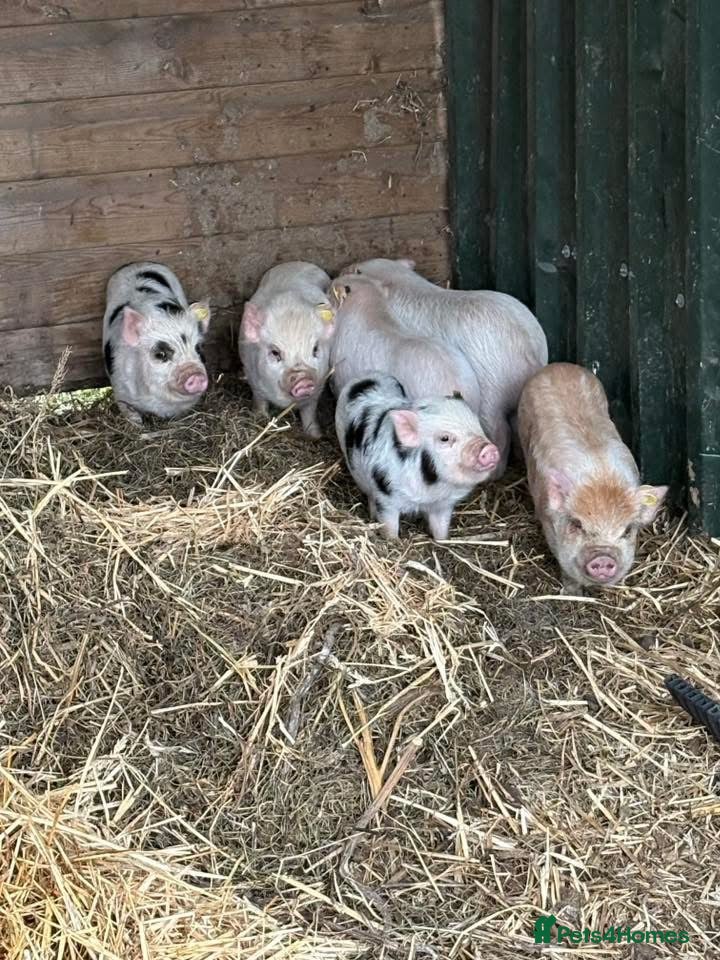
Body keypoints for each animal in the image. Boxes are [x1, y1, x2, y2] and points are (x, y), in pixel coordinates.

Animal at [102, 262, 211, 424]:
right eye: (160, 354)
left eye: (198, 349)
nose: (195, 374)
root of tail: (137, 263)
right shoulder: (120, 390)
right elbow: (131, 415)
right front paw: (138, 425)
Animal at [239, 262, 335, 438]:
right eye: (275, 352)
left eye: (315, 349)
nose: (303, 379)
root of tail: (296, 262)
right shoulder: (252, 378)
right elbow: (260, 401)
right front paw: (259, 419)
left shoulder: (318, 387)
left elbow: (309, 411)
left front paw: (316, 436)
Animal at [336, 373, 500, 540]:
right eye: (444, 438)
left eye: (477, 425)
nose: (489, 449)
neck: (430, 489)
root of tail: (366, 377)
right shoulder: (386, 496)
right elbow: (389, 526)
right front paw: (393, 541)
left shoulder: (442, 505)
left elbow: (440, 528)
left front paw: (442, 541)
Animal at [517, 362, 668, 595]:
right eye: (577, 524)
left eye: (627, 530)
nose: (603, 558)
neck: (600, 477)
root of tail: (558, 365)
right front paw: (572, 594)